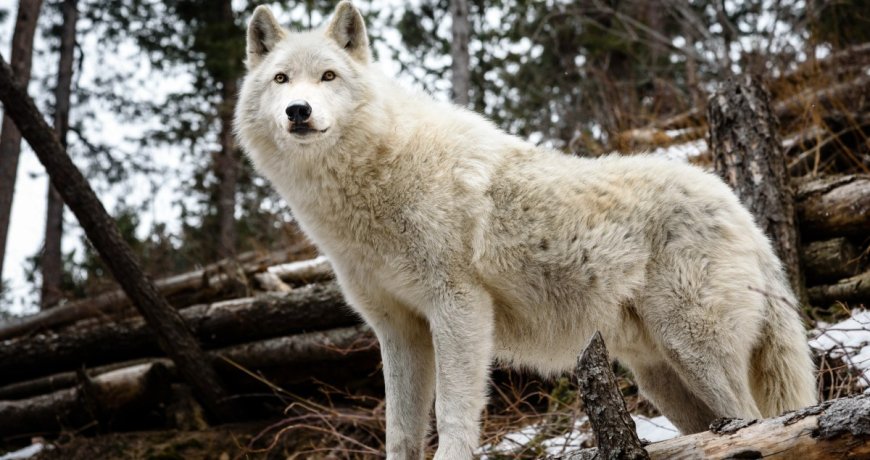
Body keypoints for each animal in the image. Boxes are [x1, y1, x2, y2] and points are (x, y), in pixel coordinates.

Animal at [234, 2, 817, 458]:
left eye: (328, 76)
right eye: (281, 80)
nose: (299, 111)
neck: (372, 178)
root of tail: (740, 209)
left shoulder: (459, 307)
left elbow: (453, 413)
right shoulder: (398, 330)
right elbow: (399, 433)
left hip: (695, 350)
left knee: (754, 420)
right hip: (662, 376)